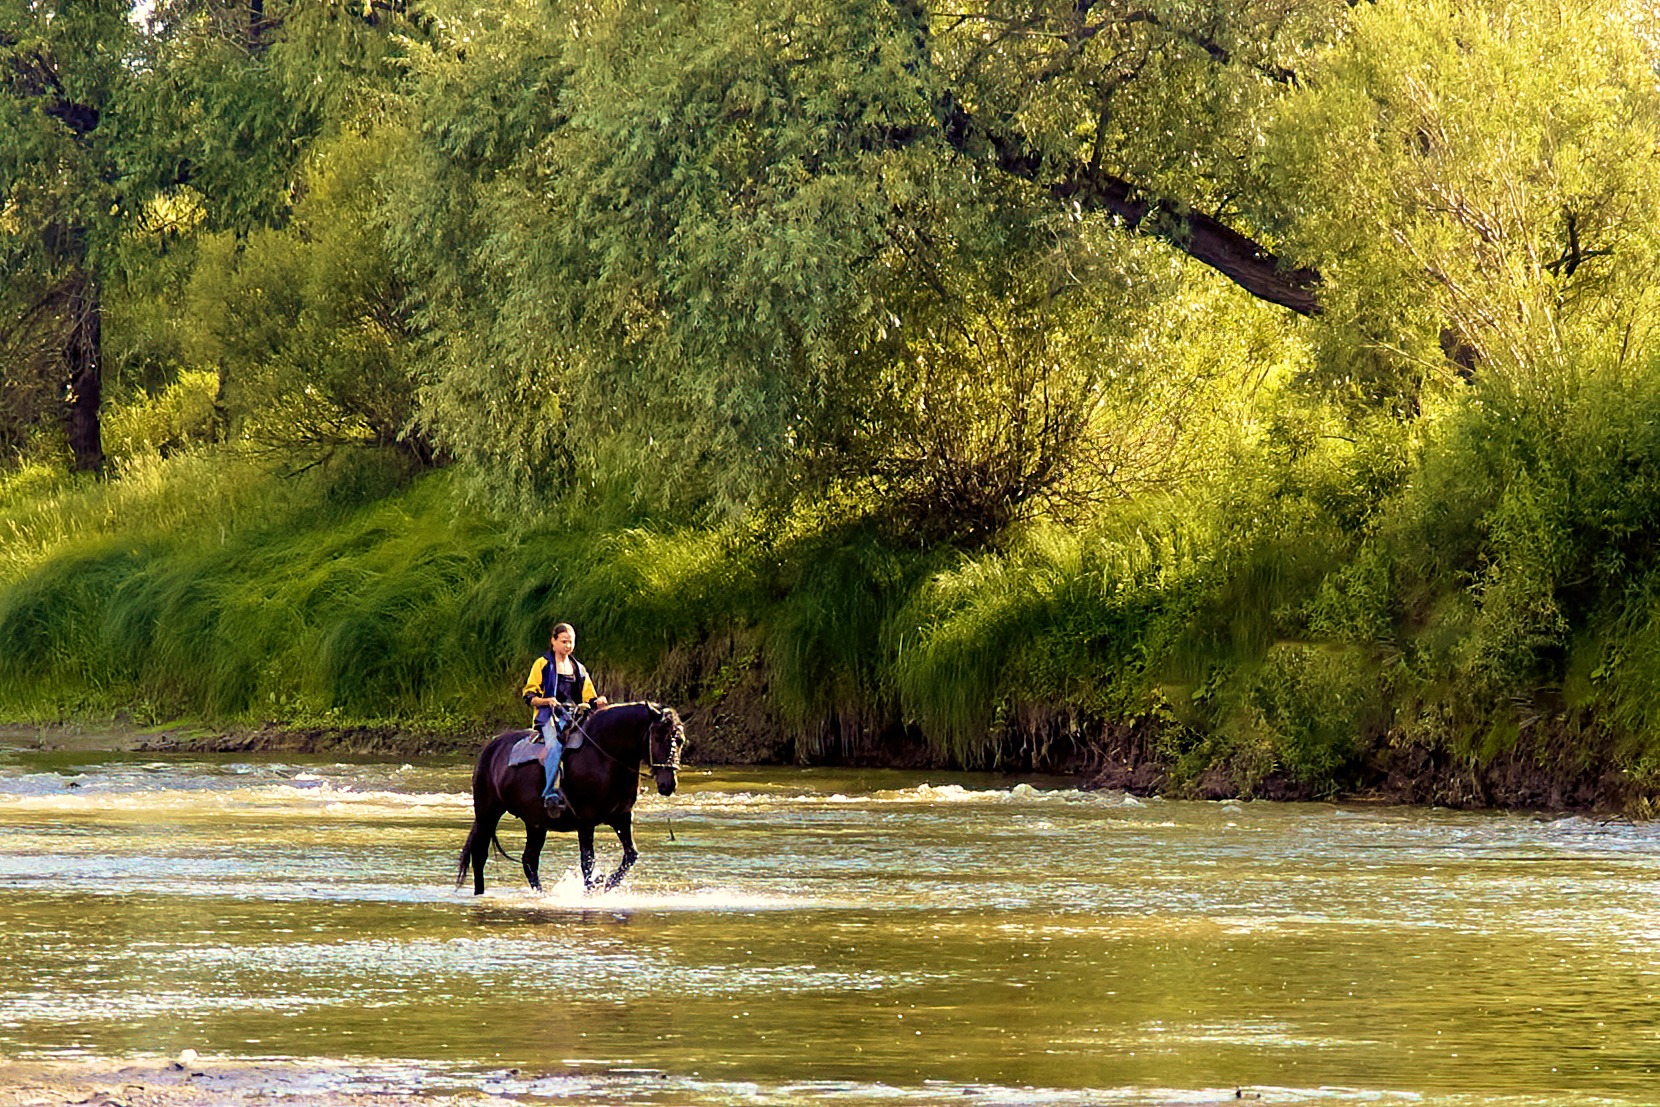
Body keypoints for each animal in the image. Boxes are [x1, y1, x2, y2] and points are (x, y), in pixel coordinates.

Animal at [451, 707, 683, 896]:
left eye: (680, 741)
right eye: (659, 736)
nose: (668, 784)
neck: (605, 757)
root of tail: (491, 748)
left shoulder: (622, 817)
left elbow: (630, 855)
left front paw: (606, 884)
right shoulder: (586, 820)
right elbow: (587, 861)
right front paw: (592, 889)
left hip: (535, 824)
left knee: (529, 860)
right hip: (487, 813)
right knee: (480, 856)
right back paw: (479, 894)